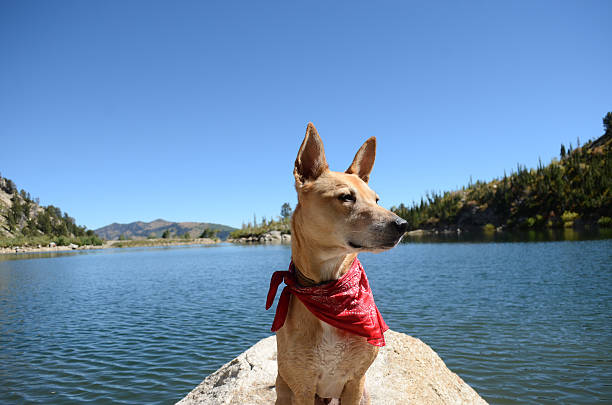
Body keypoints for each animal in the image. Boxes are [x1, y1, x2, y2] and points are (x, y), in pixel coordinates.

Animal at [266, 121, 406, 402]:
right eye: (346, 197)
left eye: (376, 199)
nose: (402, 225)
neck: (329, 289)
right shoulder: (303, 388)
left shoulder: (356, 382)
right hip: (285, 392)